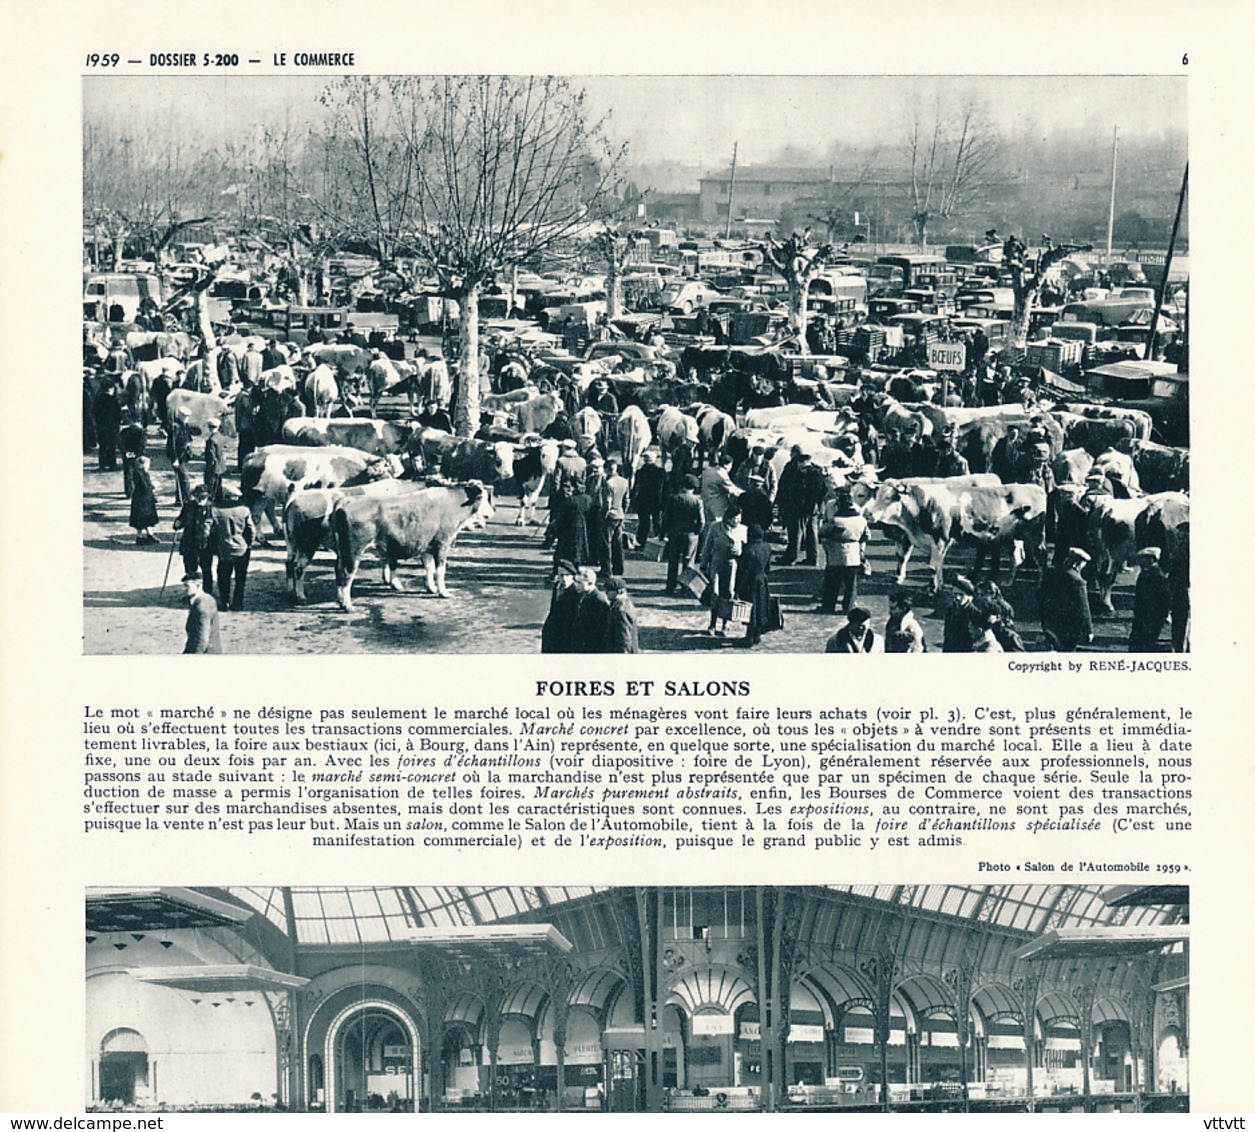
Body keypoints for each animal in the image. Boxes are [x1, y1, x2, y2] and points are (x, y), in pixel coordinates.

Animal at [331, 484, 491, 612]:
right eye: (483, 497)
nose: (491, 512)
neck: (454, 504)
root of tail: (346, 502)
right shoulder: (442, 544)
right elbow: (440, 571)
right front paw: (443, 592)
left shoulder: (426, 546)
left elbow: (429, 568)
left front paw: (431, 588)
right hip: (353, 551)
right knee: (347, 575)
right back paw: (348, 606)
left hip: (342, 552)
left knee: (338, 571)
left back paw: (340, 601)